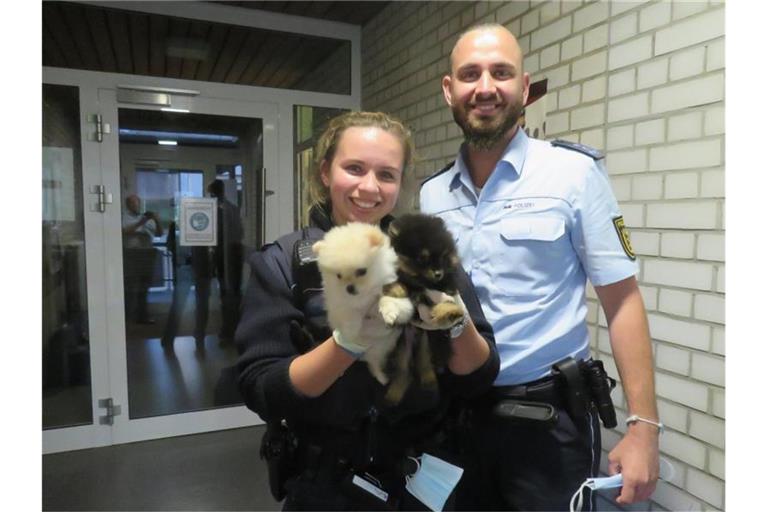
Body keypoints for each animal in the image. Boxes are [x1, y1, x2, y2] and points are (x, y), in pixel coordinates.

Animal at [314, 221, 414, 384]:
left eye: (361, 271)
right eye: (338, 276)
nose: (349, 288)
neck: (364, 295)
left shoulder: (398, 295)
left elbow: (386, 298)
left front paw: (389, 312)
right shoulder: (337, 305)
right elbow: (349, 313)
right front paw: (351, 330)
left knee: (374, 363)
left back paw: (381, 377)